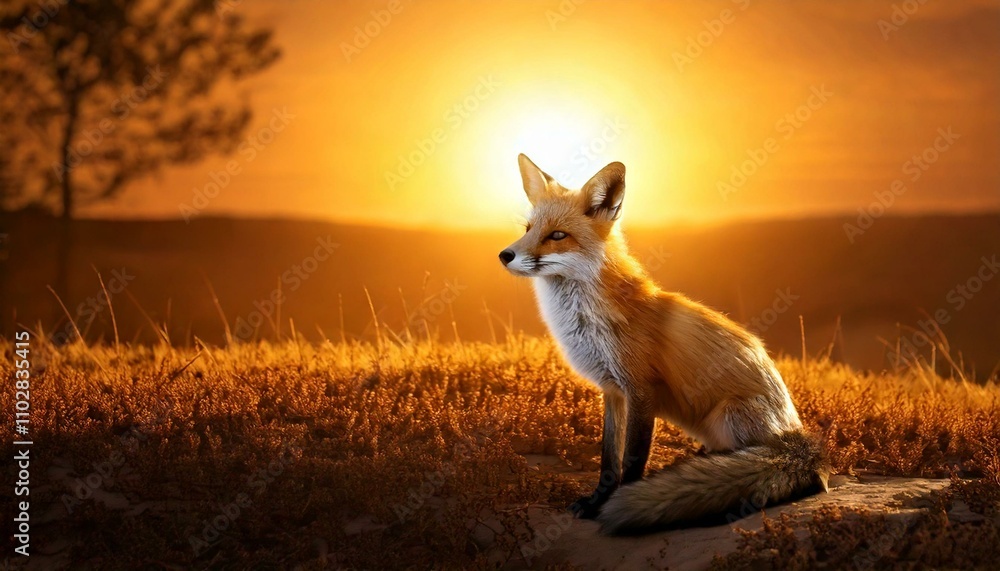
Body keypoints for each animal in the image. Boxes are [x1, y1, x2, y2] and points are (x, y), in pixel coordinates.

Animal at [499, 154, 830, 535]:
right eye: (528, 229)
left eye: (556, 235)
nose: (504, 255)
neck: (586, 322)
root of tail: (801, 440)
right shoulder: (612, 391)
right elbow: (609, 459)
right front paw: (597, 500)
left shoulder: (642, 389)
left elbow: (631, 460)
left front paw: (619, 502)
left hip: (730, 413)